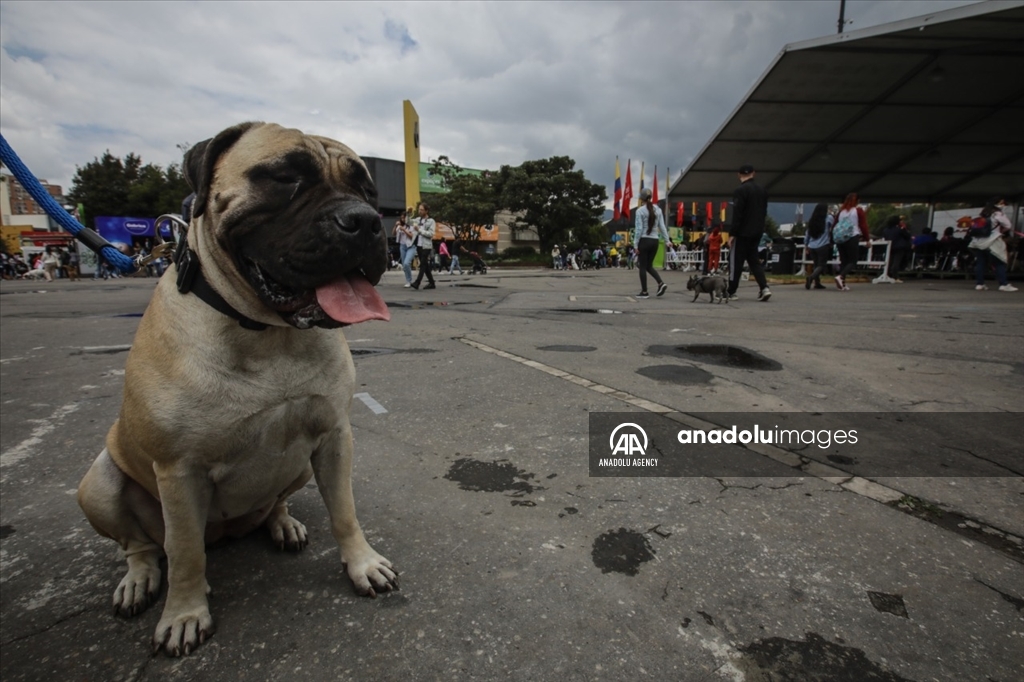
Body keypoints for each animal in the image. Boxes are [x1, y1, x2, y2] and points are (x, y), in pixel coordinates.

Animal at [74, 122, 395, 655]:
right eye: (285, 178)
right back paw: (139, 580)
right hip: (98, 483)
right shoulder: (179, 470)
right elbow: (183, 552)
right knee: (143, 545)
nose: (366, 220)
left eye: (367, 190)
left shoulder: (334, 437)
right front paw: (184, 614)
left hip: (298, 469)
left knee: (273, 503)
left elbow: (344, 512)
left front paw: (362, 564)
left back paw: (282, 523)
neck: (268, 333)